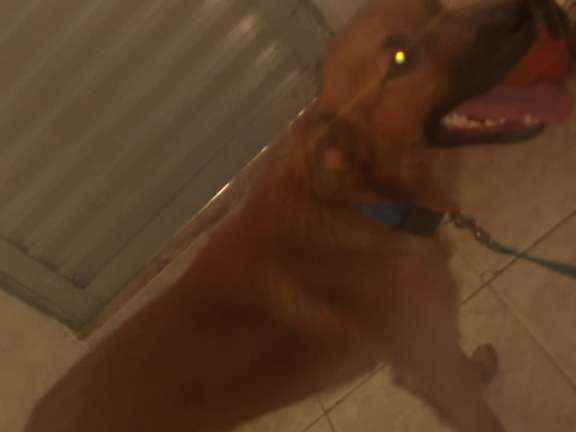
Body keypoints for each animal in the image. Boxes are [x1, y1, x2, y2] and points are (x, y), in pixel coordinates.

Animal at [25, 0, 573, 431]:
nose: (533, 10)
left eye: (439, 7)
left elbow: (464, 372)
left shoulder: (436, 348)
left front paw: (478, 368)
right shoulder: (425, 359)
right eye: (400, 57)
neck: (369, 207)